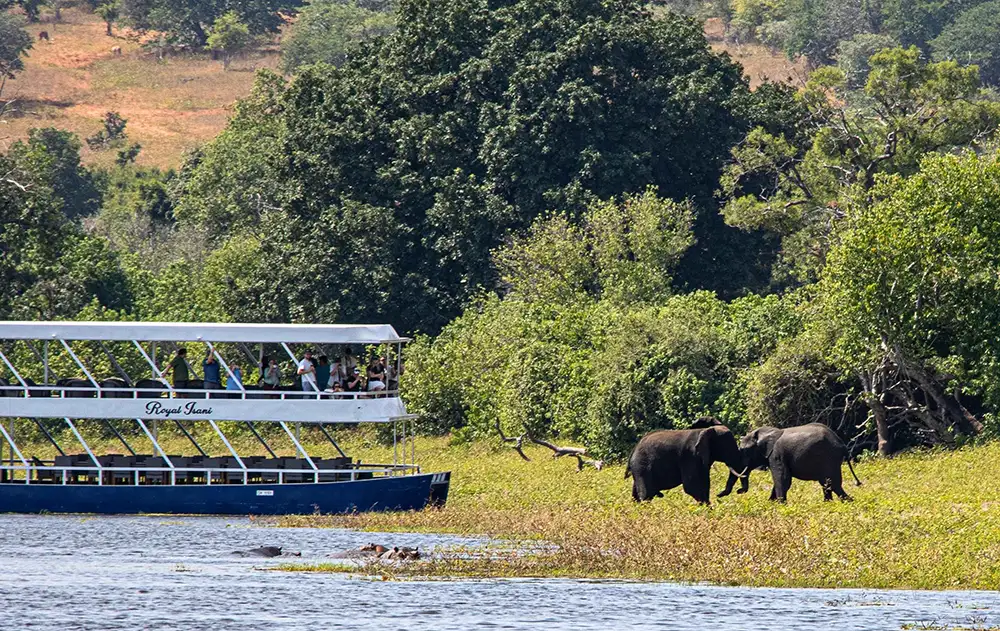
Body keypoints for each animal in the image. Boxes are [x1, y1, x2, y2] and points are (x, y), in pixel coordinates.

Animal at [718, 423, 862, 502]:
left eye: (744, 451)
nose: (739, 491)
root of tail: (842, 445)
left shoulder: (776, 454)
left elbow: (782, 478)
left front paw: (780, 505)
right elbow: (780, 479)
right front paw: (770, 503)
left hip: (829, 458)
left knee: (833, 484)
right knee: (828, 484)